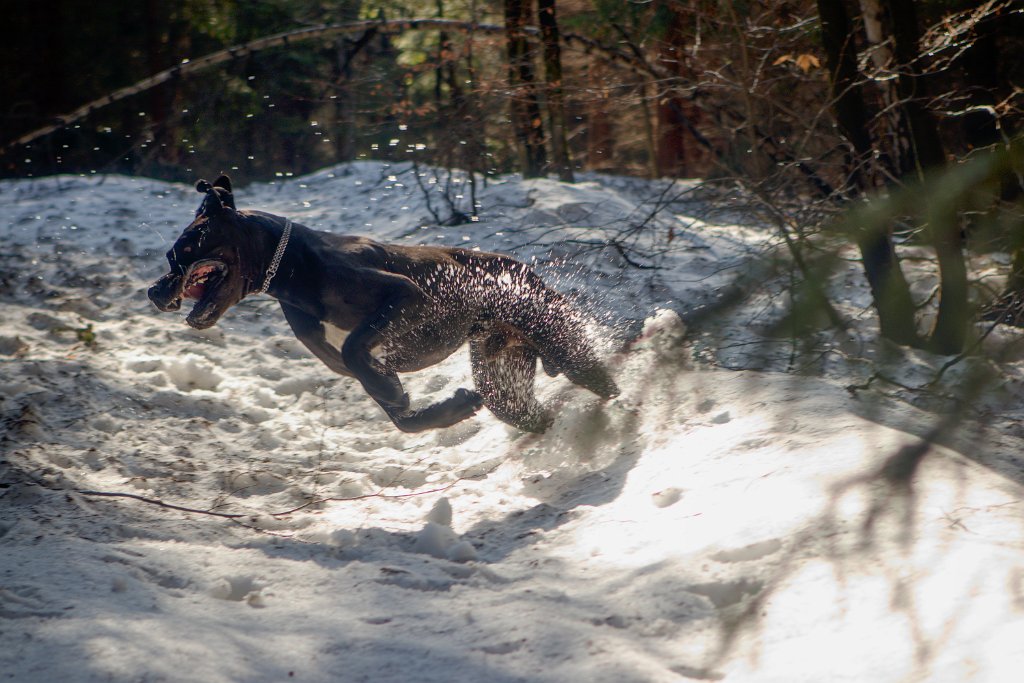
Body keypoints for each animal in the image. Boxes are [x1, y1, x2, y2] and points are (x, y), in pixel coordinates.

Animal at [148, 176, 614, 432]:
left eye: (181, 251)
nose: (154, 290)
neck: (293, 268)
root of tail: (523, 269)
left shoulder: (406, 297)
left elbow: (358, 348)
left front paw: (396, 393)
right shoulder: (355, 363)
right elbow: (398, 414)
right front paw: (446, 408)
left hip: (551, 332)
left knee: (595, 375)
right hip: (501, 379)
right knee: (522, 408)